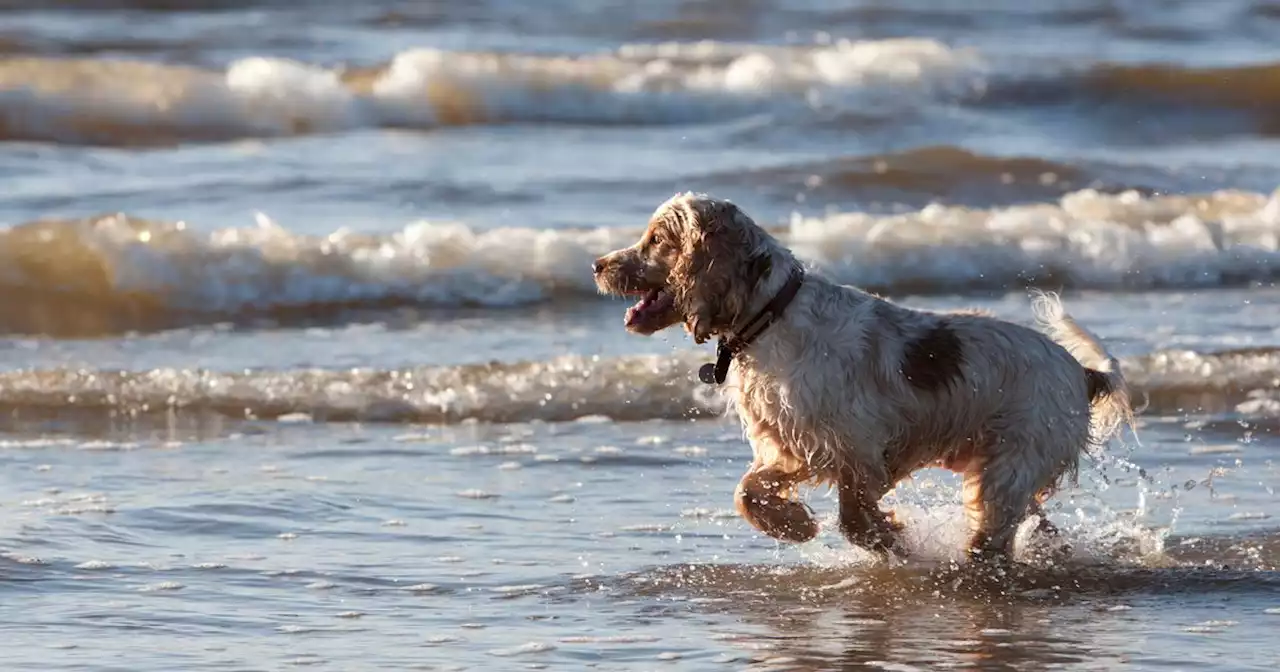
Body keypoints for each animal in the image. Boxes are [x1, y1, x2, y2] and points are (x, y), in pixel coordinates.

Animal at [593, 190, 1136, 563]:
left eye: (656, 240)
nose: (597, 264)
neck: (772, 315)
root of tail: (1081, 371)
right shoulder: (793, 443)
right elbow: (746, 493)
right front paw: (795, 526)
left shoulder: (857, 444)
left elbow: (854, 516)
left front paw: (894, 542)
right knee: (1032, 523)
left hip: (1010, 465)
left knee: (995, 534)